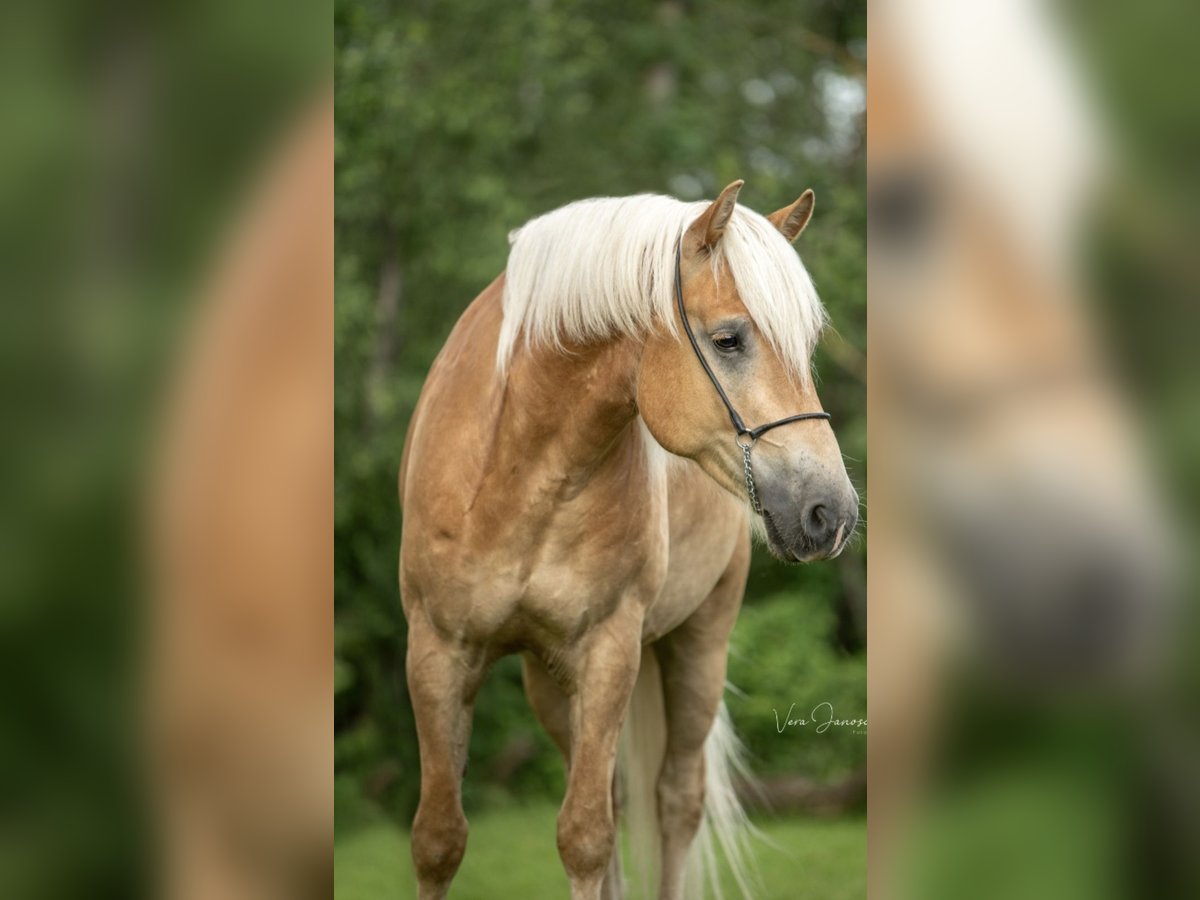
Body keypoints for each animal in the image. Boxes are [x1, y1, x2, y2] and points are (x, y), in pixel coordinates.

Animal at [398, 181, 859, 900]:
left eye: (809, 342)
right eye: (729, 340)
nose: (830, 512)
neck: (516, 473)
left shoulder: (609, 651)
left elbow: (584, 836)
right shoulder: (437, 651)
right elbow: (439, 839)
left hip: (699, 646)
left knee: (675, 800)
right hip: (548, 680)